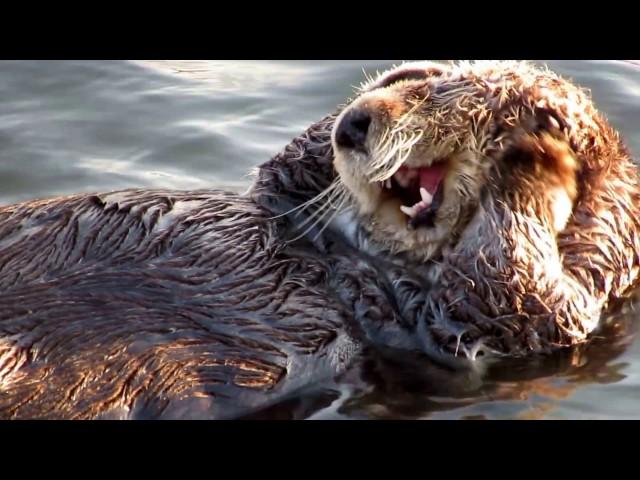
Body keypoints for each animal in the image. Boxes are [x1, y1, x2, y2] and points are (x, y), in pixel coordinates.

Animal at [0, 62, 636, 418]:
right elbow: (284, 168)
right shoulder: (283, 196)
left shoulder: (491, 317)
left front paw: (538, 157)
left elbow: (522, 293)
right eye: (412, 85)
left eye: (427, 100)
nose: (356, 125)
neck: (348, 253)